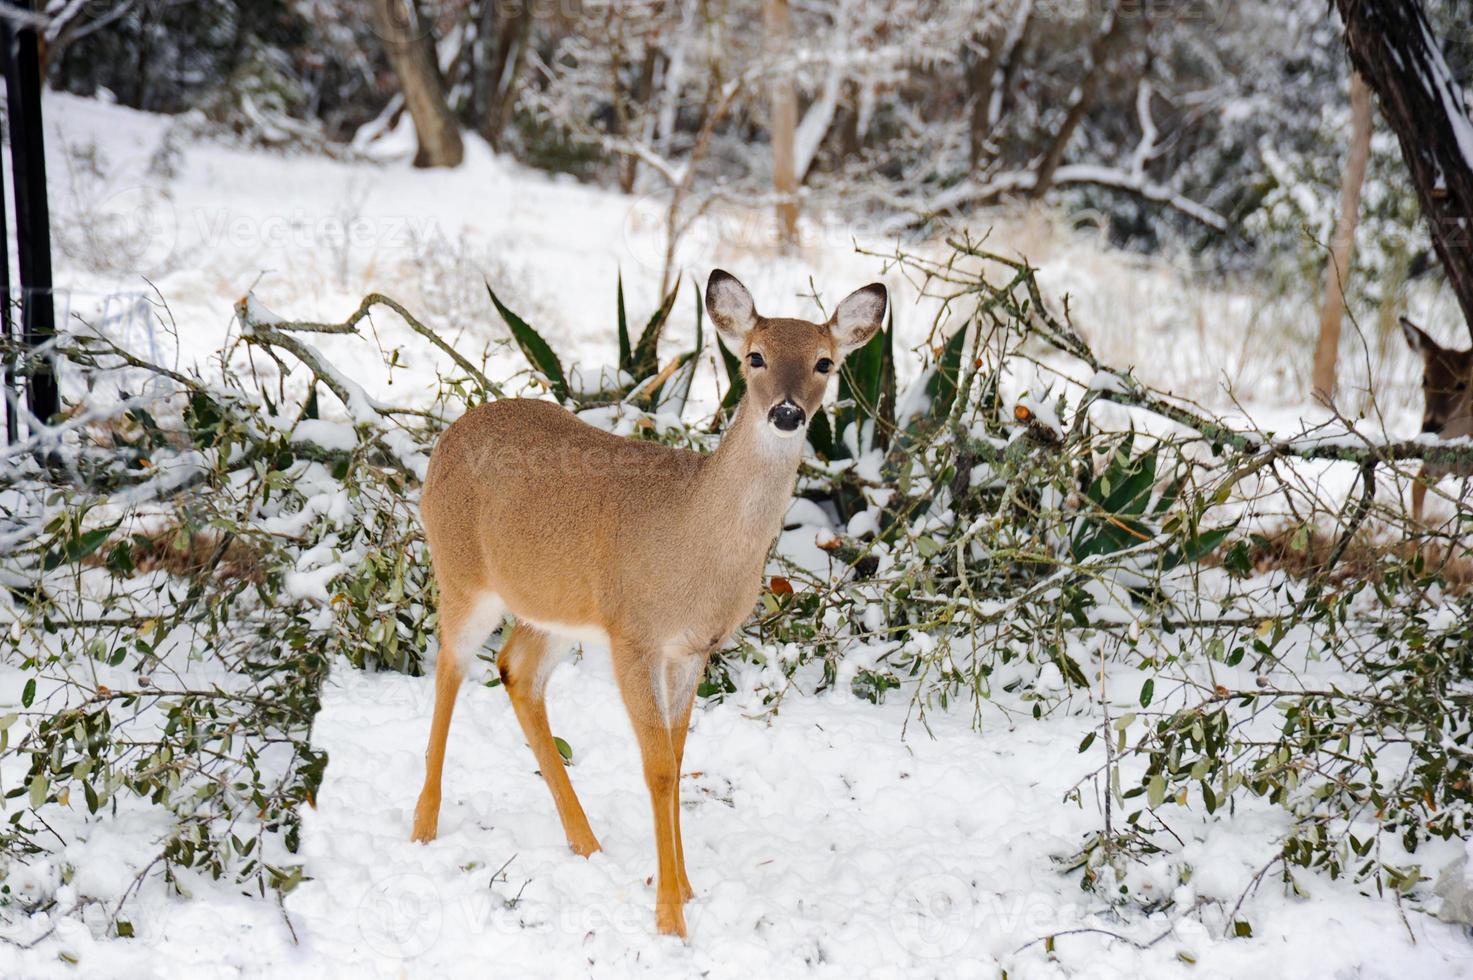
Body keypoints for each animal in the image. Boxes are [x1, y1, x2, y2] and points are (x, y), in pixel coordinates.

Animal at [409, 265, 877, 931]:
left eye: (825, 363)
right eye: (754, 357)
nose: (786, 413)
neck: (693, 540)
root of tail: (448, 434)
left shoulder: (691, 649)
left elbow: (677, 761)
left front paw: (686, 890)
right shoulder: (633, 636)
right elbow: (656, 766)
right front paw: (670, 918)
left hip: (557, 611)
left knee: (515, 670)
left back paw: (586, 842)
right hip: (464, 574)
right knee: (449, 665)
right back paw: (423, 827)